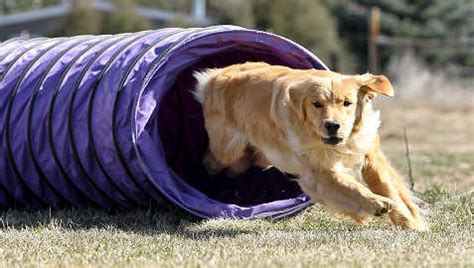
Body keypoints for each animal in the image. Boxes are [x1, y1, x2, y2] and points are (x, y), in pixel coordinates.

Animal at [193, 61, 426, 230]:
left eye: (347, 103)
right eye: (317, 104)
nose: (332, 125)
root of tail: (215, 75)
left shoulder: (369, 152)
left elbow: (388, 187)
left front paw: (410, 223)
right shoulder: (317, 172)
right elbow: (350, 186)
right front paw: (377, 203)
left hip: (261, 154)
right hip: (227, 149)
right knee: (215, 159)